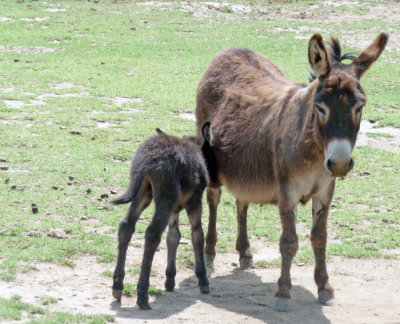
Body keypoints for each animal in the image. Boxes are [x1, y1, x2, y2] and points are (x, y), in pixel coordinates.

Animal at [110, 128, 209, 310]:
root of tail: (147, 160)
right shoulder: (194, 200)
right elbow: (197, 234)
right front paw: (203, 280)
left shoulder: (175, 208)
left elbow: (173, 236)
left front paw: (170, 280)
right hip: (165, 197)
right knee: (152, 234)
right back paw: (142, 295)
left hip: (144, 193)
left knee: (126, 226)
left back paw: (118, 286)